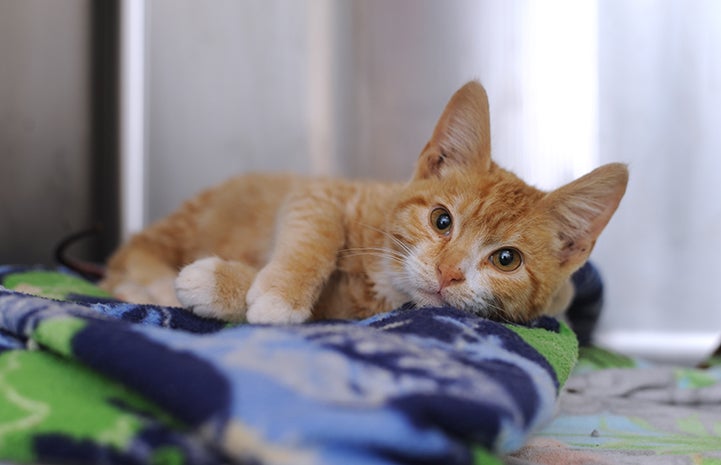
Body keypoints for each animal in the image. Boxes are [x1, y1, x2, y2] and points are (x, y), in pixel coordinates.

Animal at [98, 80, 628, 322]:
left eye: (506, 260)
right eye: (441, 221)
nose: (448, 272)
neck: (384, 280)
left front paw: (227, 284)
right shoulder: (317, 194)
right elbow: (316, 236)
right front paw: (276, 294)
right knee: (127, 256)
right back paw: (154, 284)